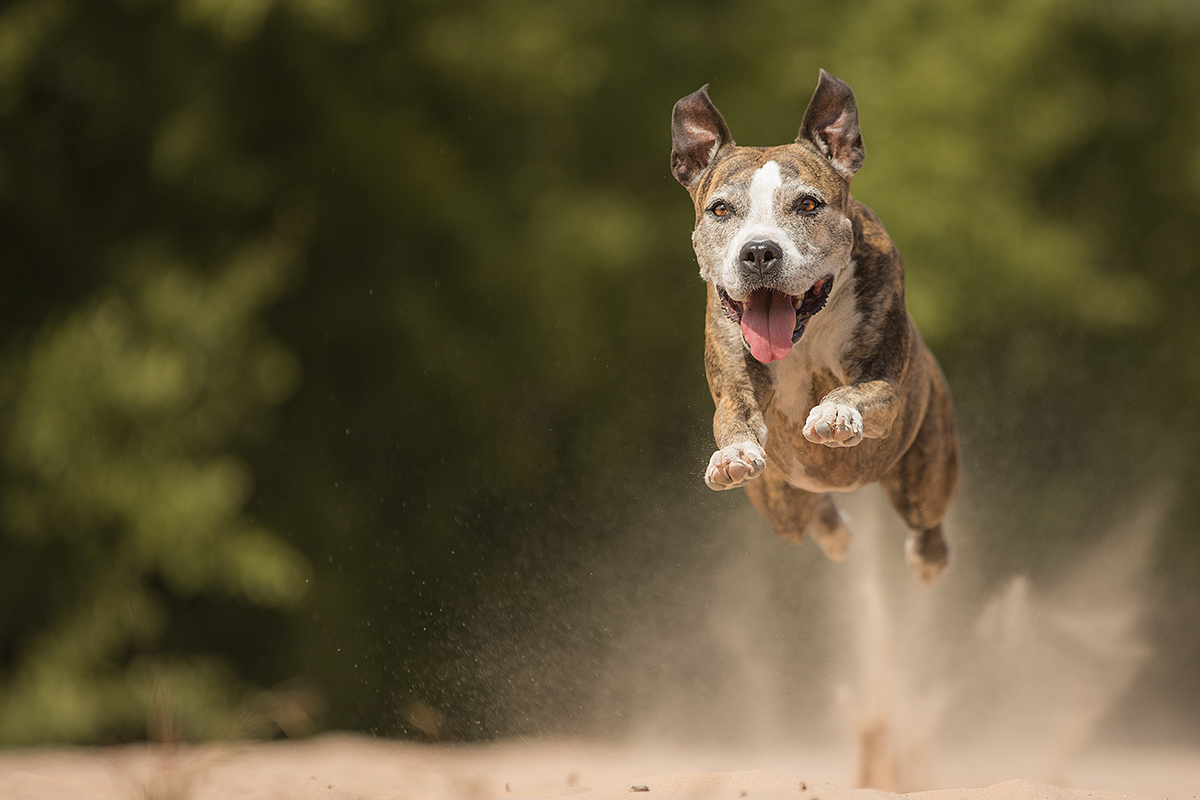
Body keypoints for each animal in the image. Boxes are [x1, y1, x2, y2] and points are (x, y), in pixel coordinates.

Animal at [672, 71, 960, 585]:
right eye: (721, 210)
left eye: (808, 204)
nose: (759, 251)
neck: (802, 334)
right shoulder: (736, 383)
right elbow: (735, 418)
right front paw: (733, 455)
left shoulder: (883, 381)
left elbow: (858, 390)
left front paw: (835, 412)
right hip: (781, 502)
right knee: (808, 512)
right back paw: (835, 531)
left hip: (926, 468)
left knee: (925, 519)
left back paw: (928, 558)